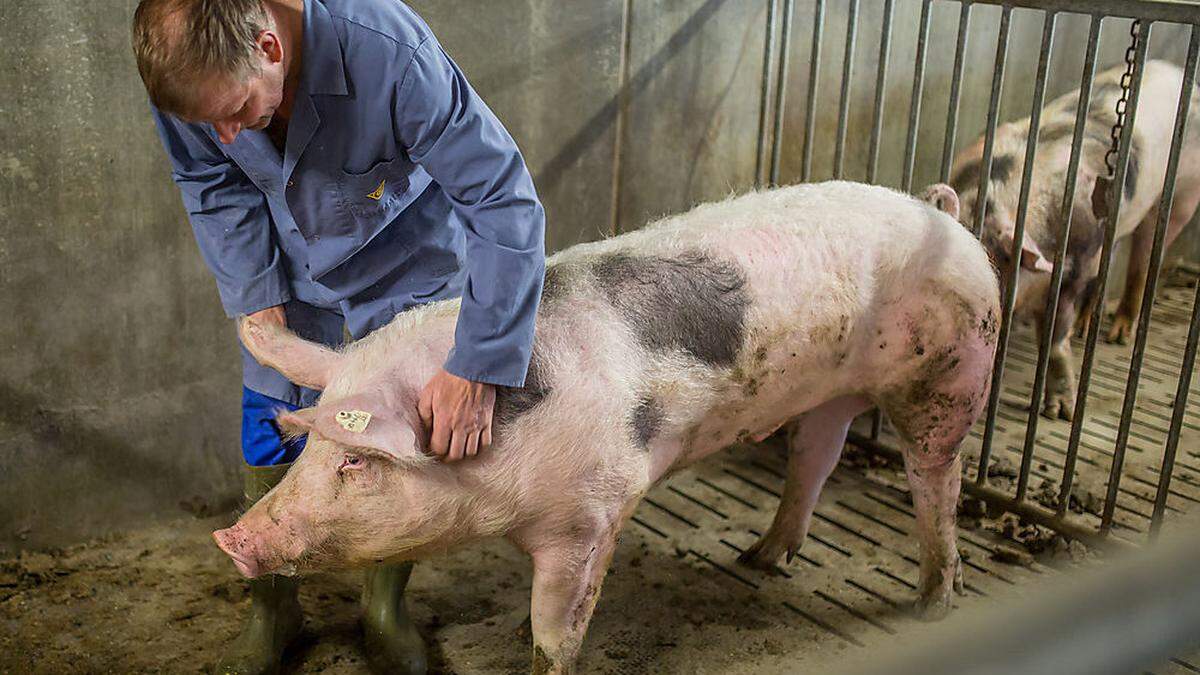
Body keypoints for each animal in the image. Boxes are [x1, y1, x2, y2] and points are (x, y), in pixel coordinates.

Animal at [211, 180, 998, 672]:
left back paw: (933, 603)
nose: (232, 538)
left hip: (953, 373)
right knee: (817, 453)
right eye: (310, 447)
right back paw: (761, 558)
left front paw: (541, 651)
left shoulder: (593, 511)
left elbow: (559, 629)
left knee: (937, 480)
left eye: (355, 461)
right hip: (831, 391)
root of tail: (943, 215)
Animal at [950, 61, 1200, 420]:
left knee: (1145, 258)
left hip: (1183, 195)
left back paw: (1118, 336)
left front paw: (1060, 413)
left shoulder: (1075, 268)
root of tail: (1174, 69)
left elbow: (1054, 339)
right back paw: (1086, 327)